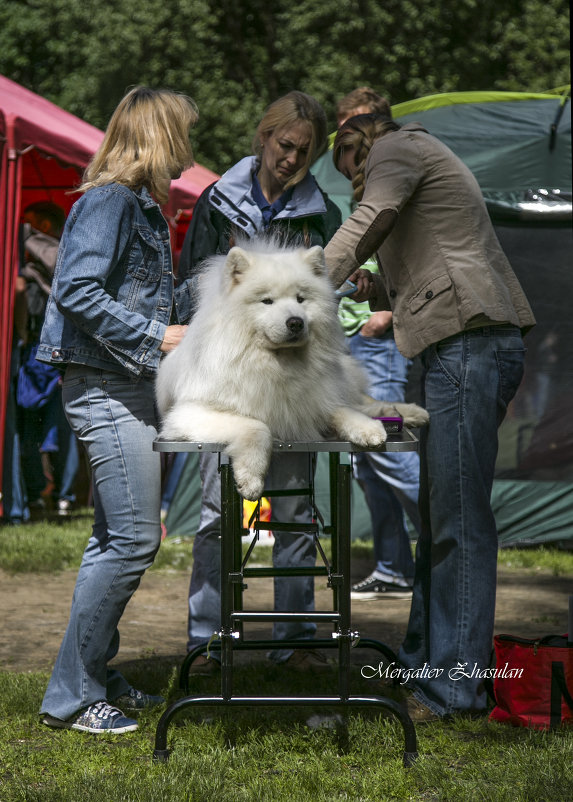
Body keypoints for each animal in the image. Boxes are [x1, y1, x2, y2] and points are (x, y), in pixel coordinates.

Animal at [154, 241, 426, 496]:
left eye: (300, 299)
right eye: (267, 301)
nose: (295, 322)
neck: (277, 365)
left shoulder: (313, 401)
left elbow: (342, 411)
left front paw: (367, 428)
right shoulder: (190, 413)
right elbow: (257, 427)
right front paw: (251, 480)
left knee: (363, 401)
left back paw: (410, 412)